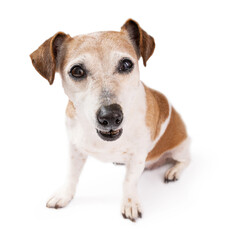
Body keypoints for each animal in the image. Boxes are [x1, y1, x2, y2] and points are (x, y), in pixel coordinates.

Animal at [29, 18, 190, 221]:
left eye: (126, 64)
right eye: (77, 71)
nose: (111, 116)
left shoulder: (137, 156)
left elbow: (129, 181)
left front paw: (130, 203)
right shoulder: (75, 149)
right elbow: (72, 174)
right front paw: (64, 195)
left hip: (180, 148)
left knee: (186, 160)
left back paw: (173, 171)